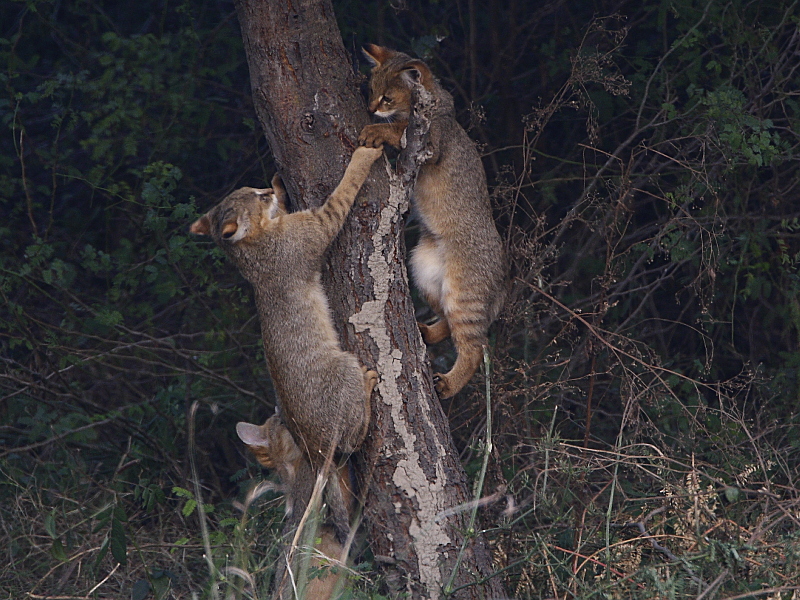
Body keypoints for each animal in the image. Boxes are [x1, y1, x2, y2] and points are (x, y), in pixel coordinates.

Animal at [192, 144, 382, 468]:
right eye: (258, 197)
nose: (268, 189)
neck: (252, 252)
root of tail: (314, 447)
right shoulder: (312, 228)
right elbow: (343, 192)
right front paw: (362, 158)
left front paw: (280, 187)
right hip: (344, 371)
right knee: (352, 440)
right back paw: (367, 389)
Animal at [358, 43, 504, 398]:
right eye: (371, 90)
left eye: (387, 98)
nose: (370, 109)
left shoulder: (430, 145)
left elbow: (398, 131)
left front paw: (376, 131)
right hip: (424, 273)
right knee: (449, 323)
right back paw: (426, 333)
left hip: (463, 292)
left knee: (475, 347)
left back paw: (449, 384)